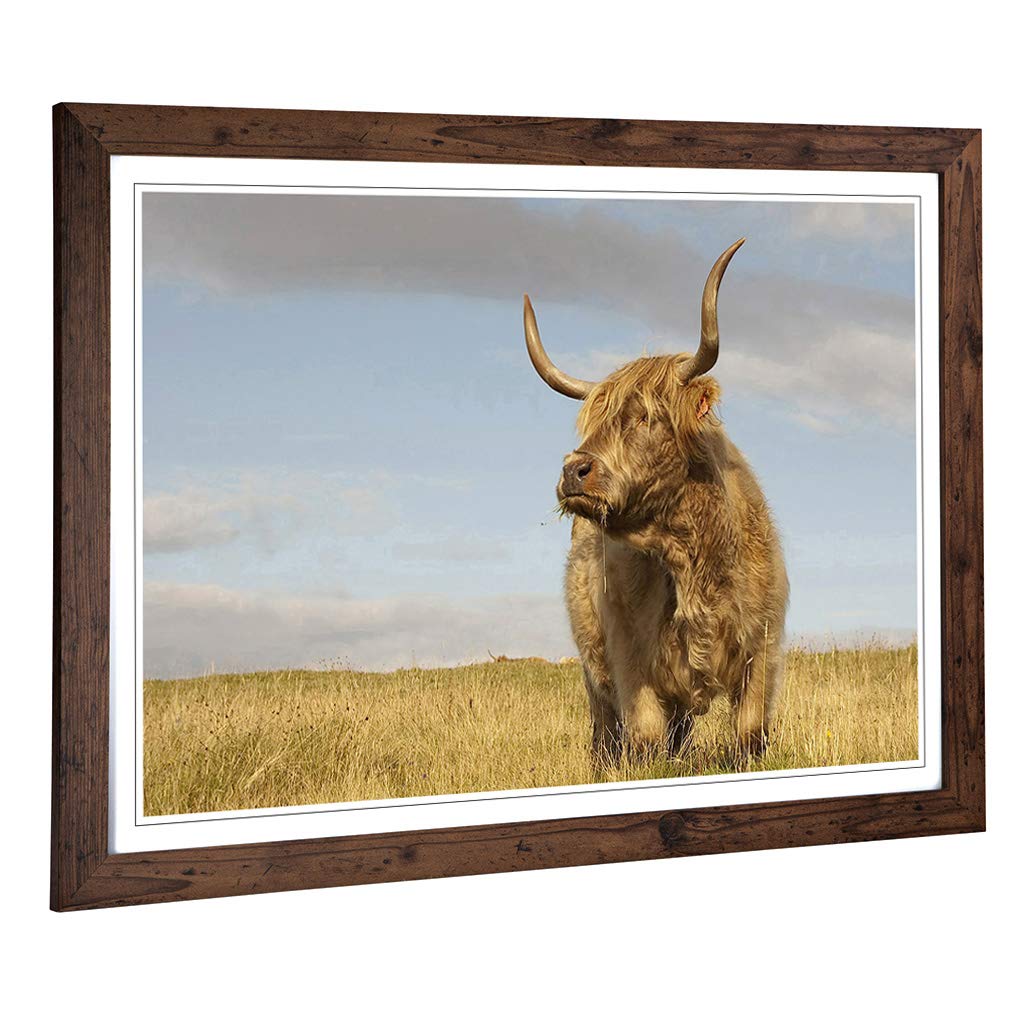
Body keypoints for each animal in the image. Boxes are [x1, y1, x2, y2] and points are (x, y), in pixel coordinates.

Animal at [523, 239, 788, 763]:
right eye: (592, 422)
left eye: (646, 416)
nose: (573, 470)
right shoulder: (631, 658)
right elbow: (644, 739)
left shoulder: (762, 650)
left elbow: (749, 735)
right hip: (593, 673)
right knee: (608, 731)